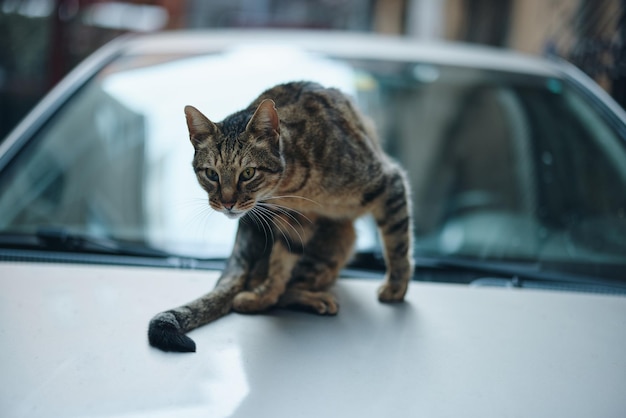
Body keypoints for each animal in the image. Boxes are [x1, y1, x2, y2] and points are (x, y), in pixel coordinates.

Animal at [148, 80, 412, 352]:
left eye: (248, 173)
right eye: (211, 174)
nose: (227, 203)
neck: (296, 188)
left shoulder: (388, 183)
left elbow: (397, 243)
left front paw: (396, 286)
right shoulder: (293, 220)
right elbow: (279, 265)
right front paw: (262, 297)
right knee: (267, 283)